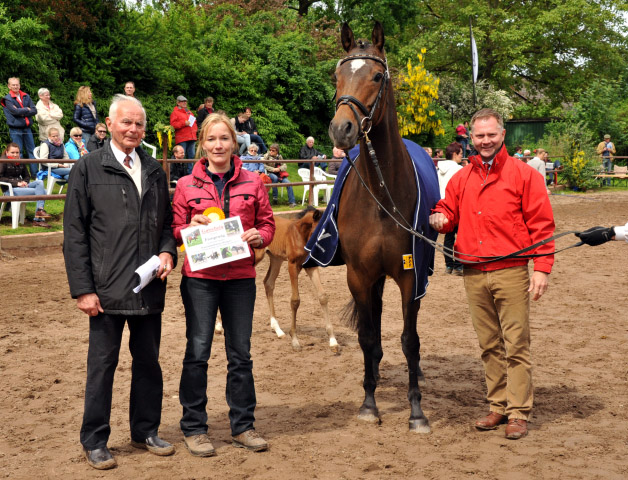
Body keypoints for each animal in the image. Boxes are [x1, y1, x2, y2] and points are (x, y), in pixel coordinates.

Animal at [328, 21, 436, 432]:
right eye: (337, 76)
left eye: (376, 76)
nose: (341, 129)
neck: (380, 196)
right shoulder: (359, 276)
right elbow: (366, 337)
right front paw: (369, 404)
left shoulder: (410, 276)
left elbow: (410, 340)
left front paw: (417, 411)